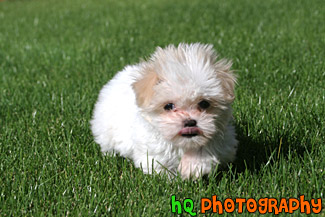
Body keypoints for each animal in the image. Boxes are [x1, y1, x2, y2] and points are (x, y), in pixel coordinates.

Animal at [90, 43, 237, 179]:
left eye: (204, 103)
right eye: (168, 106)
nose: (190, 122)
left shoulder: (224, 139)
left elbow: (209, 147)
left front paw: (193, 167)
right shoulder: (152, 150)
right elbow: (161, 167)